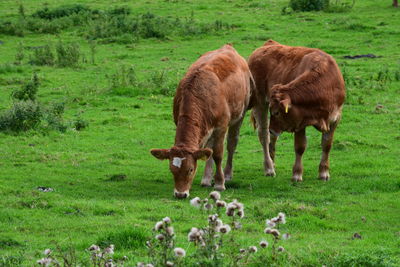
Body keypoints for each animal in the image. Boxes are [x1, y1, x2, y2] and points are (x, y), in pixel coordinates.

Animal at [152, 44, 252, 199]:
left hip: (240, 114)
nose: (180, 194)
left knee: (231, 144)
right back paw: (206, 179)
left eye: (190, 169)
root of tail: (228, 47)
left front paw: (219, 183)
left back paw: (227, 174)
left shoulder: (221, 127)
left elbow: (218, 154)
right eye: (171, 170)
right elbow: (207, 151)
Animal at [248, 39, 346, 182]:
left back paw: (272, 161)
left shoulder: (335, 118)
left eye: (277, 112)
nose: (272, 129)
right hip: (259, 103)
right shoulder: (300, 122)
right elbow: (300, 147)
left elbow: (327, 145)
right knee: (264, 135)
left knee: (272, 138)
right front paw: (297, 174)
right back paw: (269, 168)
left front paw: (324, 172)